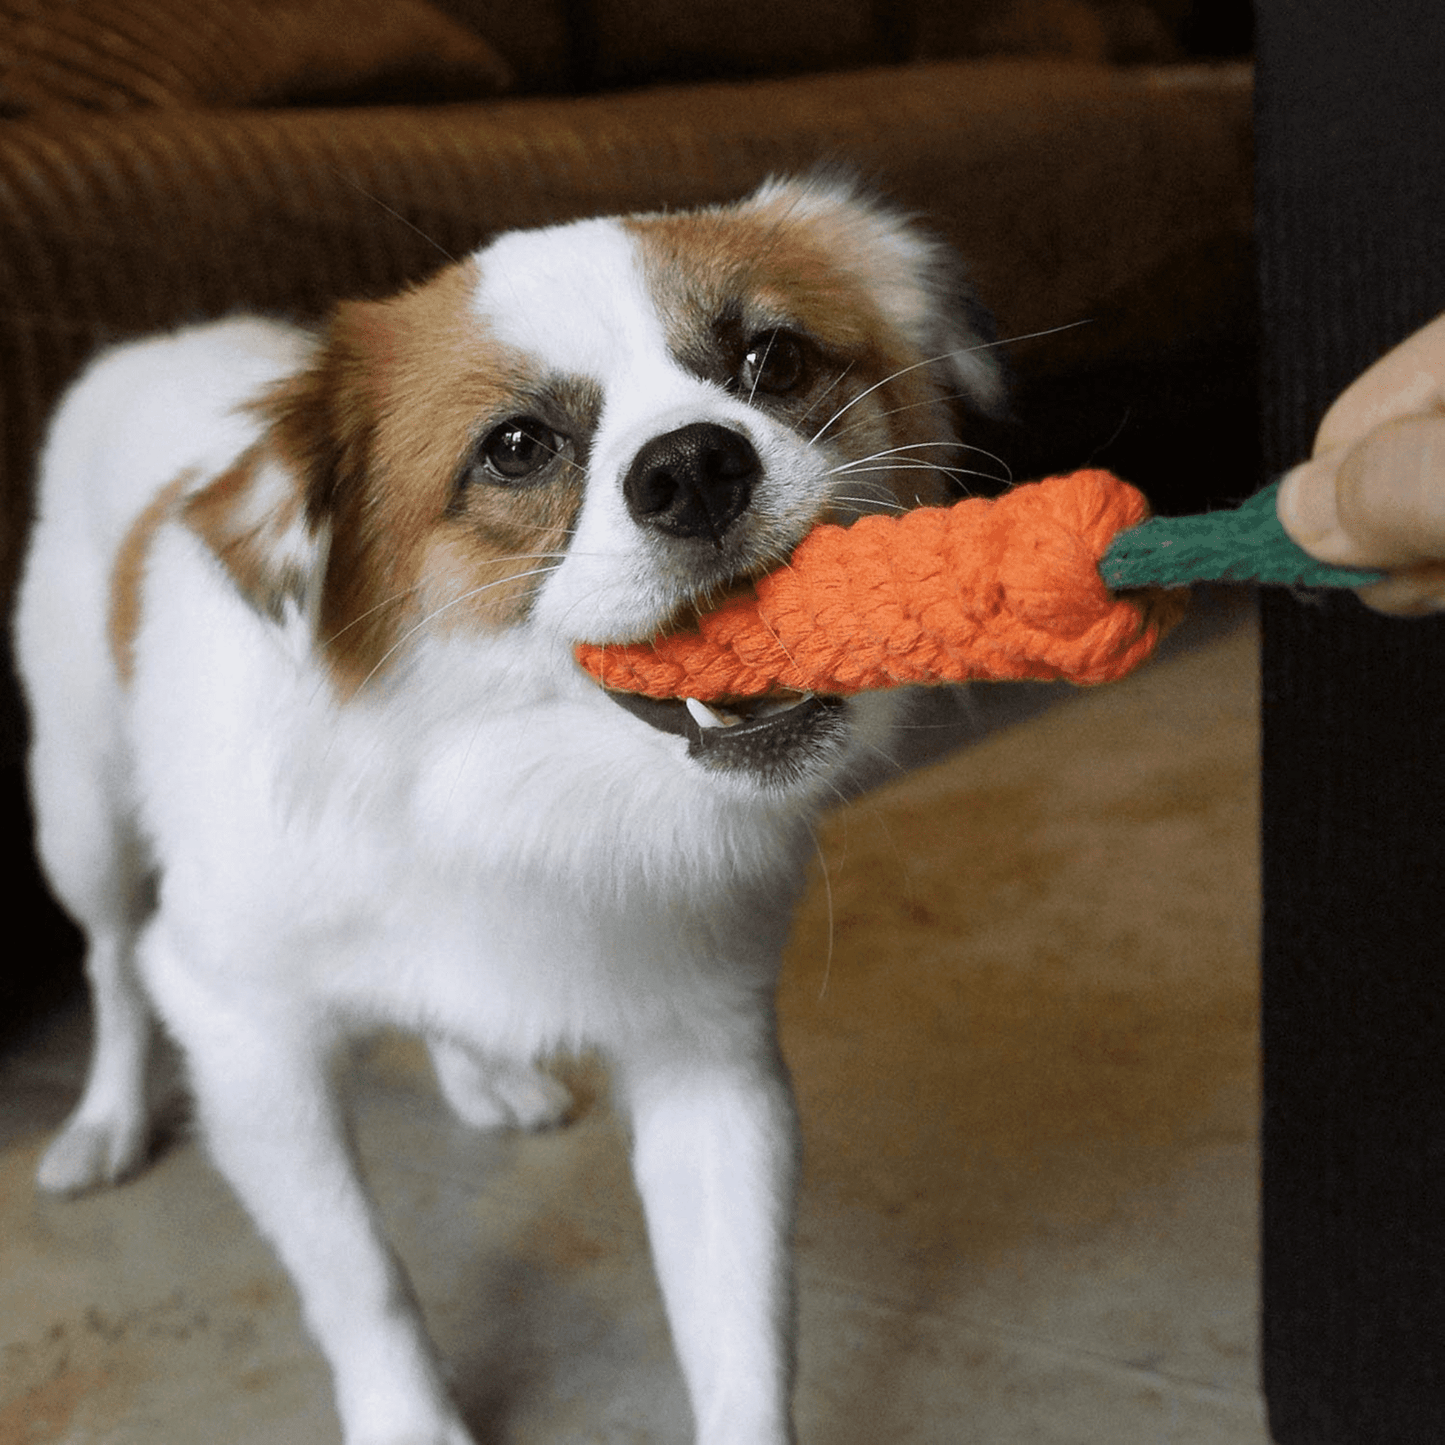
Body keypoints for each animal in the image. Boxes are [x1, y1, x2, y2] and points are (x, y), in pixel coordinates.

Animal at [14, 174, 1005, 1439]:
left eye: (770, 358)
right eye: (517, 447)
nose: (695, 465)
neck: (492, 786)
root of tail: (159, 343)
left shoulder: (710, 1065)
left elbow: (742, 1340)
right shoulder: (242, 1031)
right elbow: (360, 1276)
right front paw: (409, 1418)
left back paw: (483, 1071)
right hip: (78, 816)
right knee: (107, 963)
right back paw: (102, 1119)